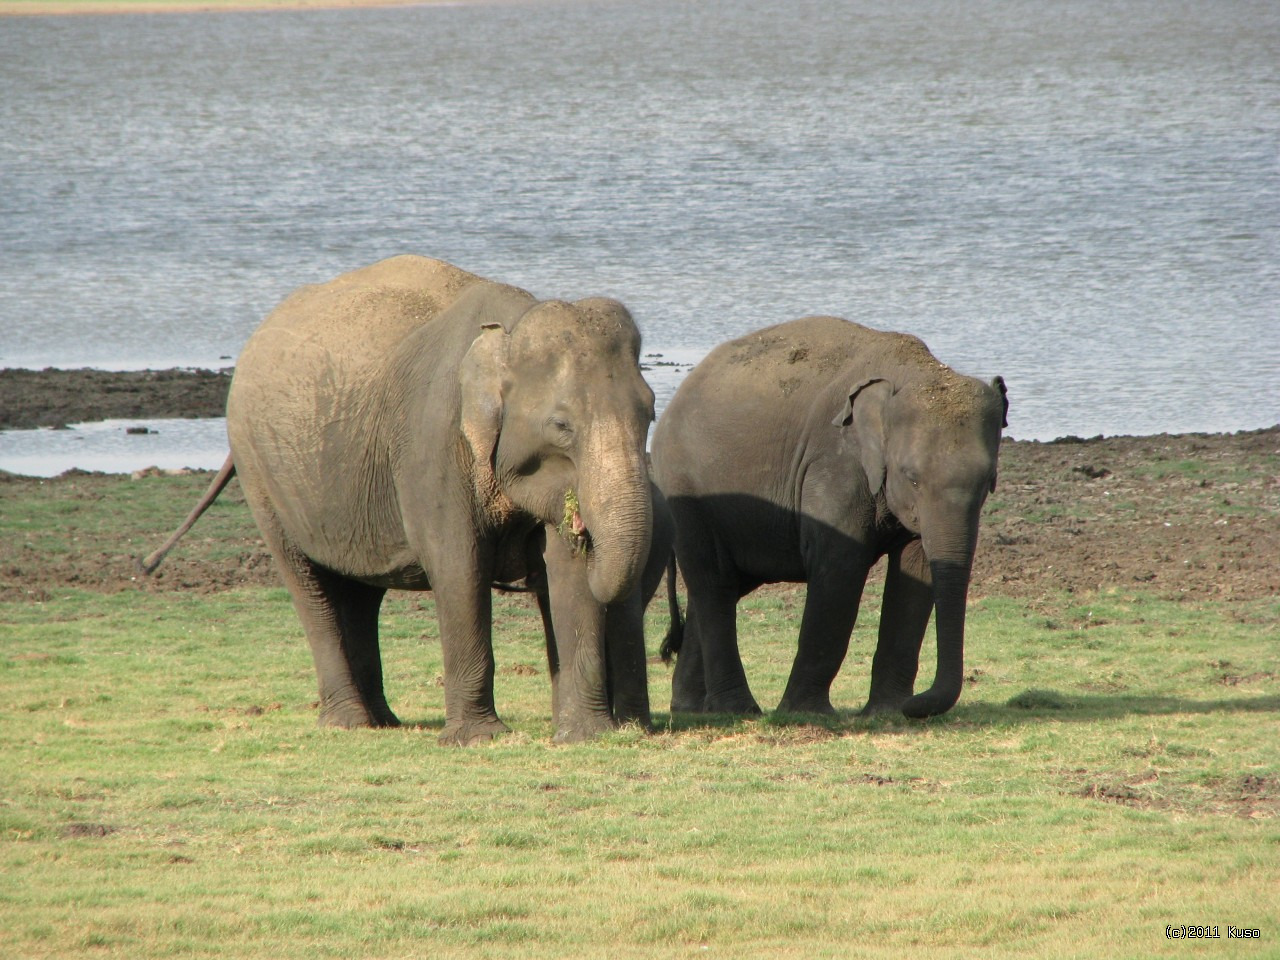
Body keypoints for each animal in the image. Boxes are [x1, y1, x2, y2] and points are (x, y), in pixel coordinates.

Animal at [144, 259, 655, 747]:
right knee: (310, 587)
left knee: (359, 595)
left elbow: (568, 573)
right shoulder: (432, 448)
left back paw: (384, 722)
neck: (508, 329)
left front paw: (585, 737)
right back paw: (347, 724)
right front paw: (478, 739)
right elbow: (458, 568)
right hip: (262, 477)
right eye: (562, 425)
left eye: (649, 412)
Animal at [655, 316, 1003, 721]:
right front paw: (807, 714)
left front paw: (886, 712)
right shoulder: (834, 464)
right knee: (714, 584)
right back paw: (740, 711)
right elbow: (840, 567)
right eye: (912, 477)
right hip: (686, 491)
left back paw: (692, 709)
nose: (916, 705)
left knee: (716, 588)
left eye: (988, 480)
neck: (913, 371)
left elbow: (915, 572)